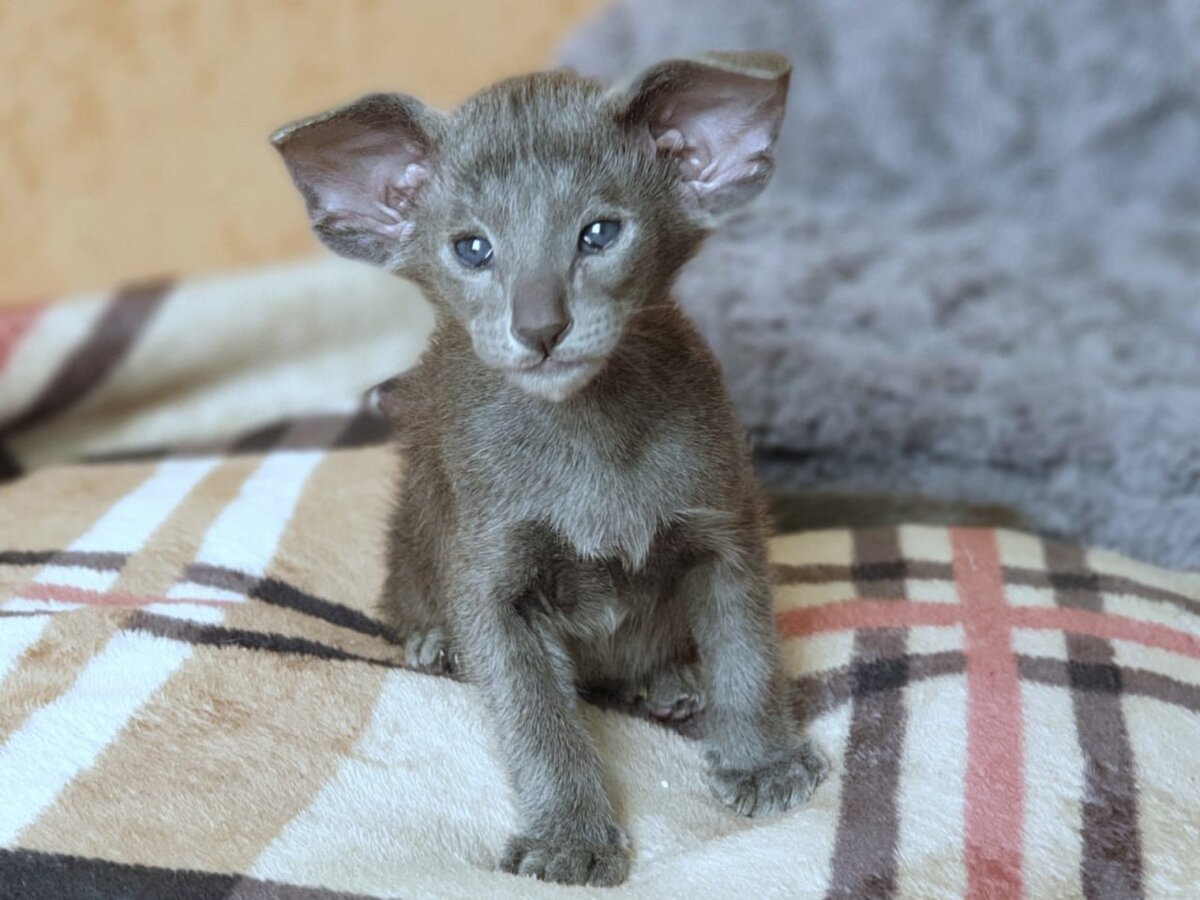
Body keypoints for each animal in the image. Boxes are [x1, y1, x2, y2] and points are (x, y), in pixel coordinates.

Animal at [270, 52, 825, 892]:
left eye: (598, 234)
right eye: (472, 249)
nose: (540, 327)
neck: (590, 431)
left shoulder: (725, 527)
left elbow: (748, 651)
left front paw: (763, 762)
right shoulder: (492, 579)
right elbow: (537, 718)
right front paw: (571, 837)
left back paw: (671, 679)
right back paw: (435, 644)